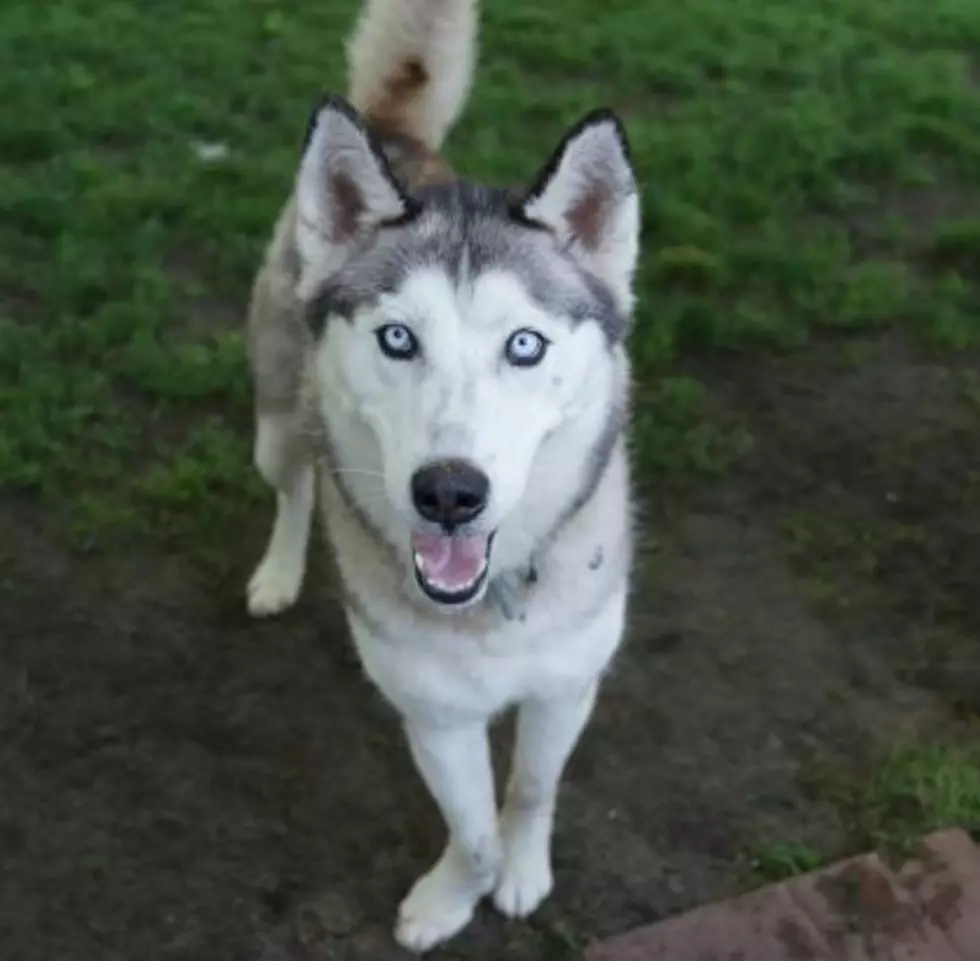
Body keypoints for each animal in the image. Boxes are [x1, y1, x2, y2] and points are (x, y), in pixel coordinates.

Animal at [245, 0, 644, 948]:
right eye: (398, 337)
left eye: (525, 345)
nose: (450, 492)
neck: (491, 605)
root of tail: (397, 136)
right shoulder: (434, 714)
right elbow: (472, 830)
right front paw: (451, 897)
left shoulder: (567, 684)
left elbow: (530, 789)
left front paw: (523, 873)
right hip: (276, 420)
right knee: (296, 485)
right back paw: (279, 571)